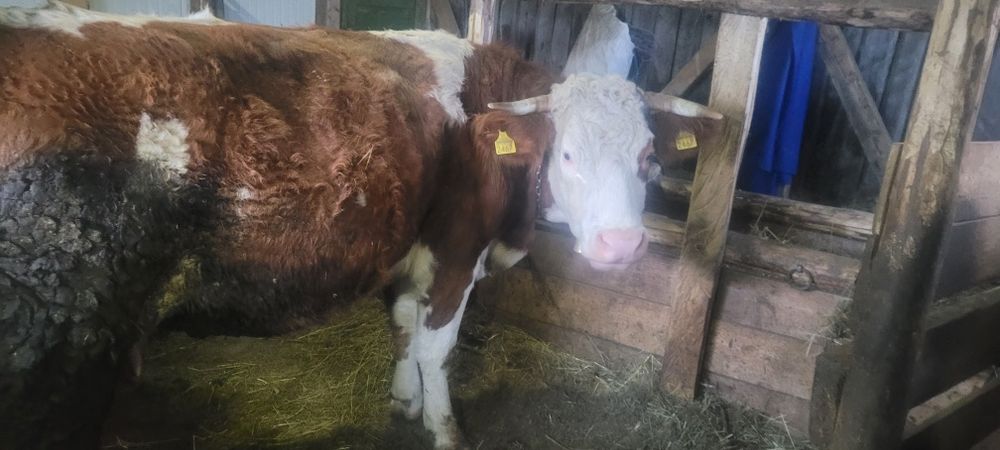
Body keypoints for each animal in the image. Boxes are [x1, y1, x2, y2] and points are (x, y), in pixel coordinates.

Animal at [0, 3, 723, 449]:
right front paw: (444, 428)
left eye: (649, 156)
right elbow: (436, 346)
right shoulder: (457, 248)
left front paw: (404, 402)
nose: (621, 244)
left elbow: (401, 325)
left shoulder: (402, 242)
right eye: (566, 153)